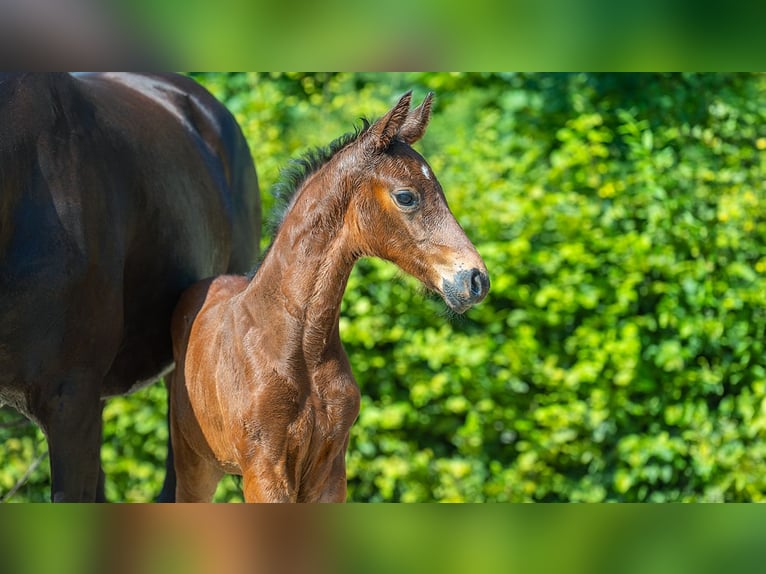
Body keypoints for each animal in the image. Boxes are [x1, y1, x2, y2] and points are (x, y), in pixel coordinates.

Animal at [170, 92, 488, 502]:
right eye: (406, 197)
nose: (476, 279)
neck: (299, 343)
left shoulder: (331, 470)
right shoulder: (265, 470)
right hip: (195, 463)